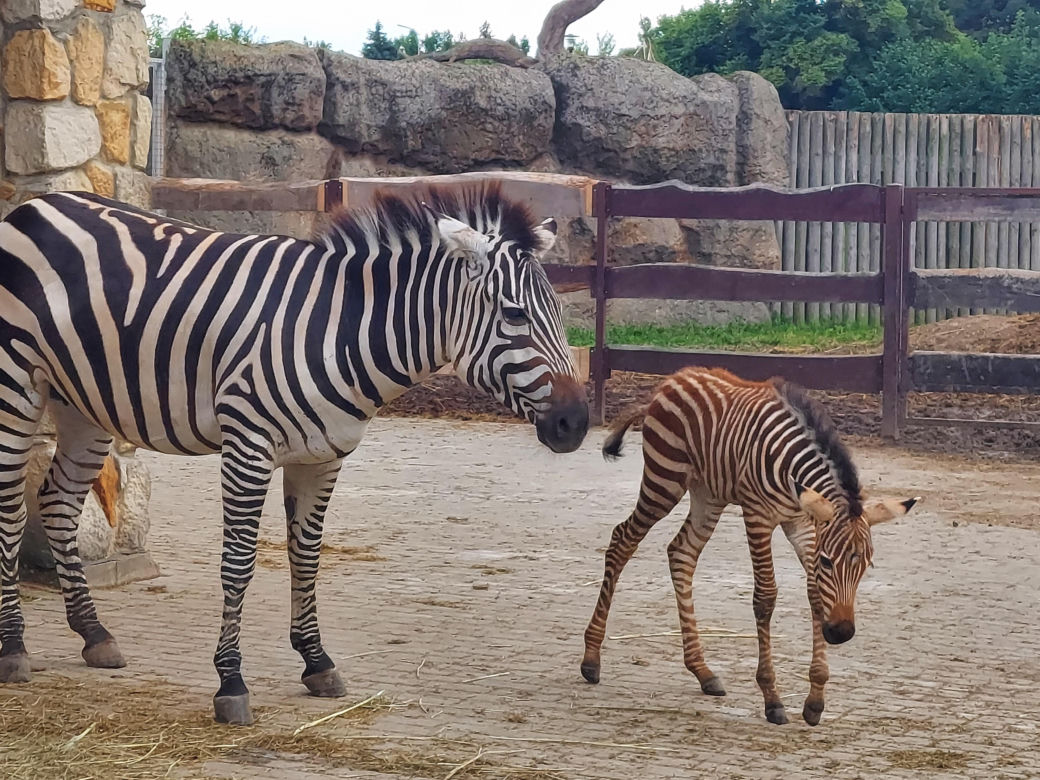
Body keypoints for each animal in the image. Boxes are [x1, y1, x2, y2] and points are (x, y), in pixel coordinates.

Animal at [0, 183, 589, 725]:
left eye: (560, 315)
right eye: (513, 314)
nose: (576, 424)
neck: (340, 331)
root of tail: (38, 203)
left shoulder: (323, 457)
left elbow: (306, 558)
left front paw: (317, 662)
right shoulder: (248, 447)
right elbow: (238, 564)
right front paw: (231, 683)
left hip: (84, 403)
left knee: (57, 503)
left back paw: (94, 634)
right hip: (18, 385)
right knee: (12, 512)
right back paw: (14, 648)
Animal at [579, 367, 917, 726]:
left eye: (865, 566)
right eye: (827, 562)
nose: (841, 633)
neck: (792, 466)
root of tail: (672, 380)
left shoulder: (802, 523)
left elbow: (814, 595)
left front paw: (815, 700)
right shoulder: (758, 516)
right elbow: (765, 598)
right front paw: (772, 698)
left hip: (709, 494)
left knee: (681, 553)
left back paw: (702, 671)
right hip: (664, 481)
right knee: (622, 541)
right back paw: (591, 658)